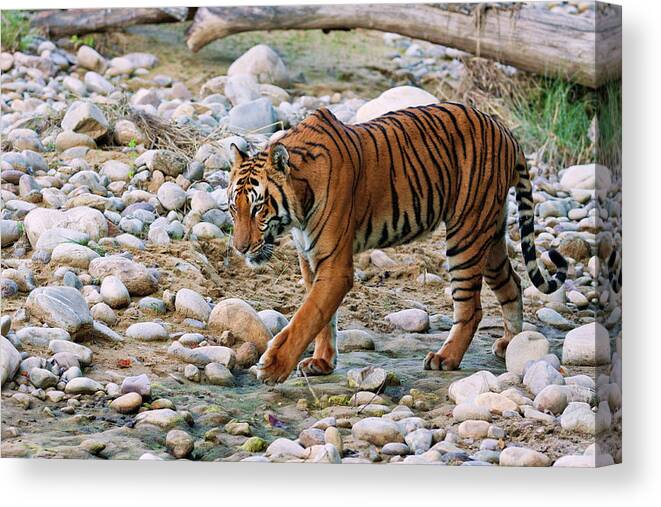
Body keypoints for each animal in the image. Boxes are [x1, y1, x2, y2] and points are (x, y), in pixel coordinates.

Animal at [228, 105, 568, 386]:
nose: (240, 248)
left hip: (465, 234)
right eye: (234, 208)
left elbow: (308, 316)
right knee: (512, 283)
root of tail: (506, 131)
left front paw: (273, 367)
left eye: (258, 208)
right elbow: (323, 317)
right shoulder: (310, 261)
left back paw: (446, 358)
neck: (299, 205)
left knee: (472, 307)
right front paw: (322, 362)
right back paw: (510, 343)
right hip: (491, 233)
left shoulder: (335, 265)